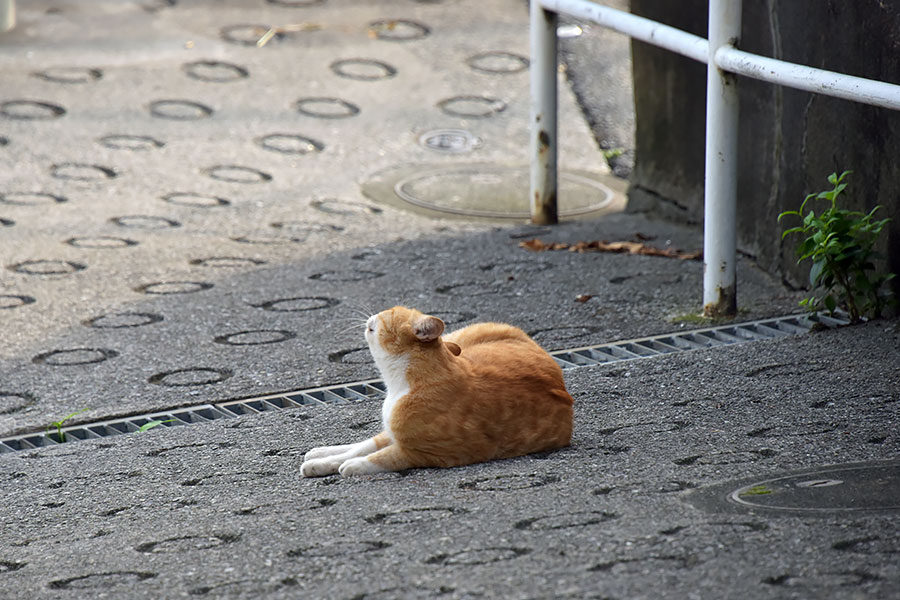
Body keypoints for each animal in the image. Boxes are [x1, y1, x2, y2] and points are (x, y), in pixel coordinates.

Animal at [300, 308, 568, 476]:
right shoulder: (394, 431)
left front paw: (352, 466)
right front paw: (323, 460)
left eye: (391, 312)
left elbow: (381, 457)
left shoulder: (424, 452)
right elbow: (363, 445)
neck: (398, 385)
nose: (373, 315)